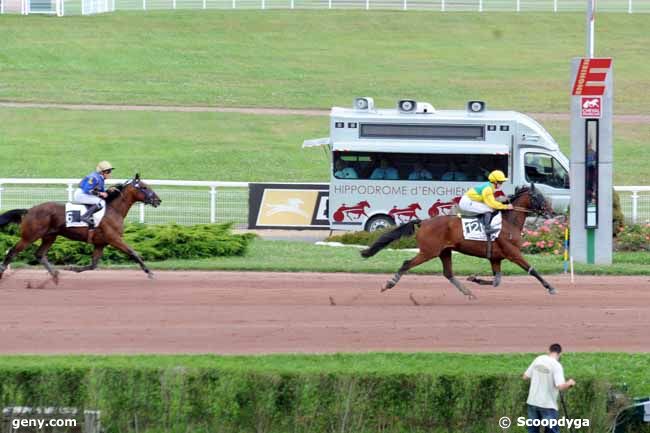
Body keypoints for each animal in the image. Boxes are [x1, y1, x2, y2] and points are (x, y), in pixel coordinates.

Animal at [0, 174, 161, 282]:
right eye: (144, 187)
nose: (158, 200)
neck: (113, 210)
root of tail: (29, 210)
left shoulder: (100, 243)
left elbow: (93, 265)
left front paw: (72, 268)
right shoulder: (114, 238)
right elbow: (133, 252)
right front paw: (149, 272)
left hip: (50, 236)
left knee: (39, 254)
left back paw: (55, 275)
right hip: (30, 236)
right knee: (12, 252)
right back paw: (2, 273)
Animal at [360, 186, 552, 300]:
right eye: (539, 196)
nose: (551, 211)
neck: (508, 222)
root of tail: (423, 222)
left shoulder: (495, 258)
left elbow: (497, 281)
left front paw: (474, 278)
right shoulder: (513, 253)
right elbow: (532, 270)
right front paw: (550, 287)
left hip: (444, 251)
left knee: (448, 273)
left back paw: (468, 292)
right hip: (429, 251)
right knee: (407, 263)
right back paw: (388, 284)